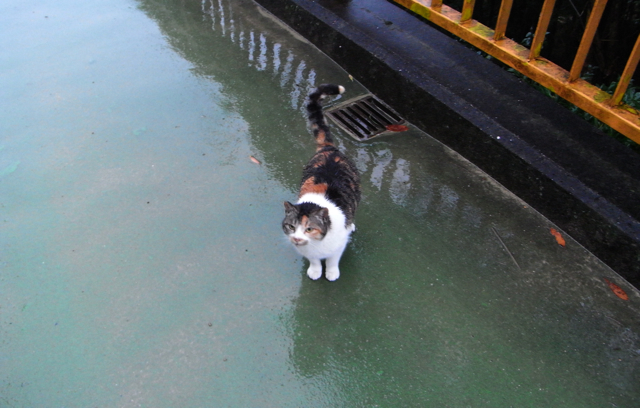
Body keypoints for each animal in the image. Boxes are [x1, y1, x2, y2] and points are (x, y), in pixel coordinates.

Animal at [282, 83, 362, 280]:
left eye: (309, 229)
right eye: (291, 226)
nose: (297, 238)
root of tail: (328, 149)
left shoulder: (339, 244)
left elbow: (333, 259)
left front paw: (332, 273)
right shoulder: (308, 251)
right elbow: (314, 260)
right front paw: (315, 270)